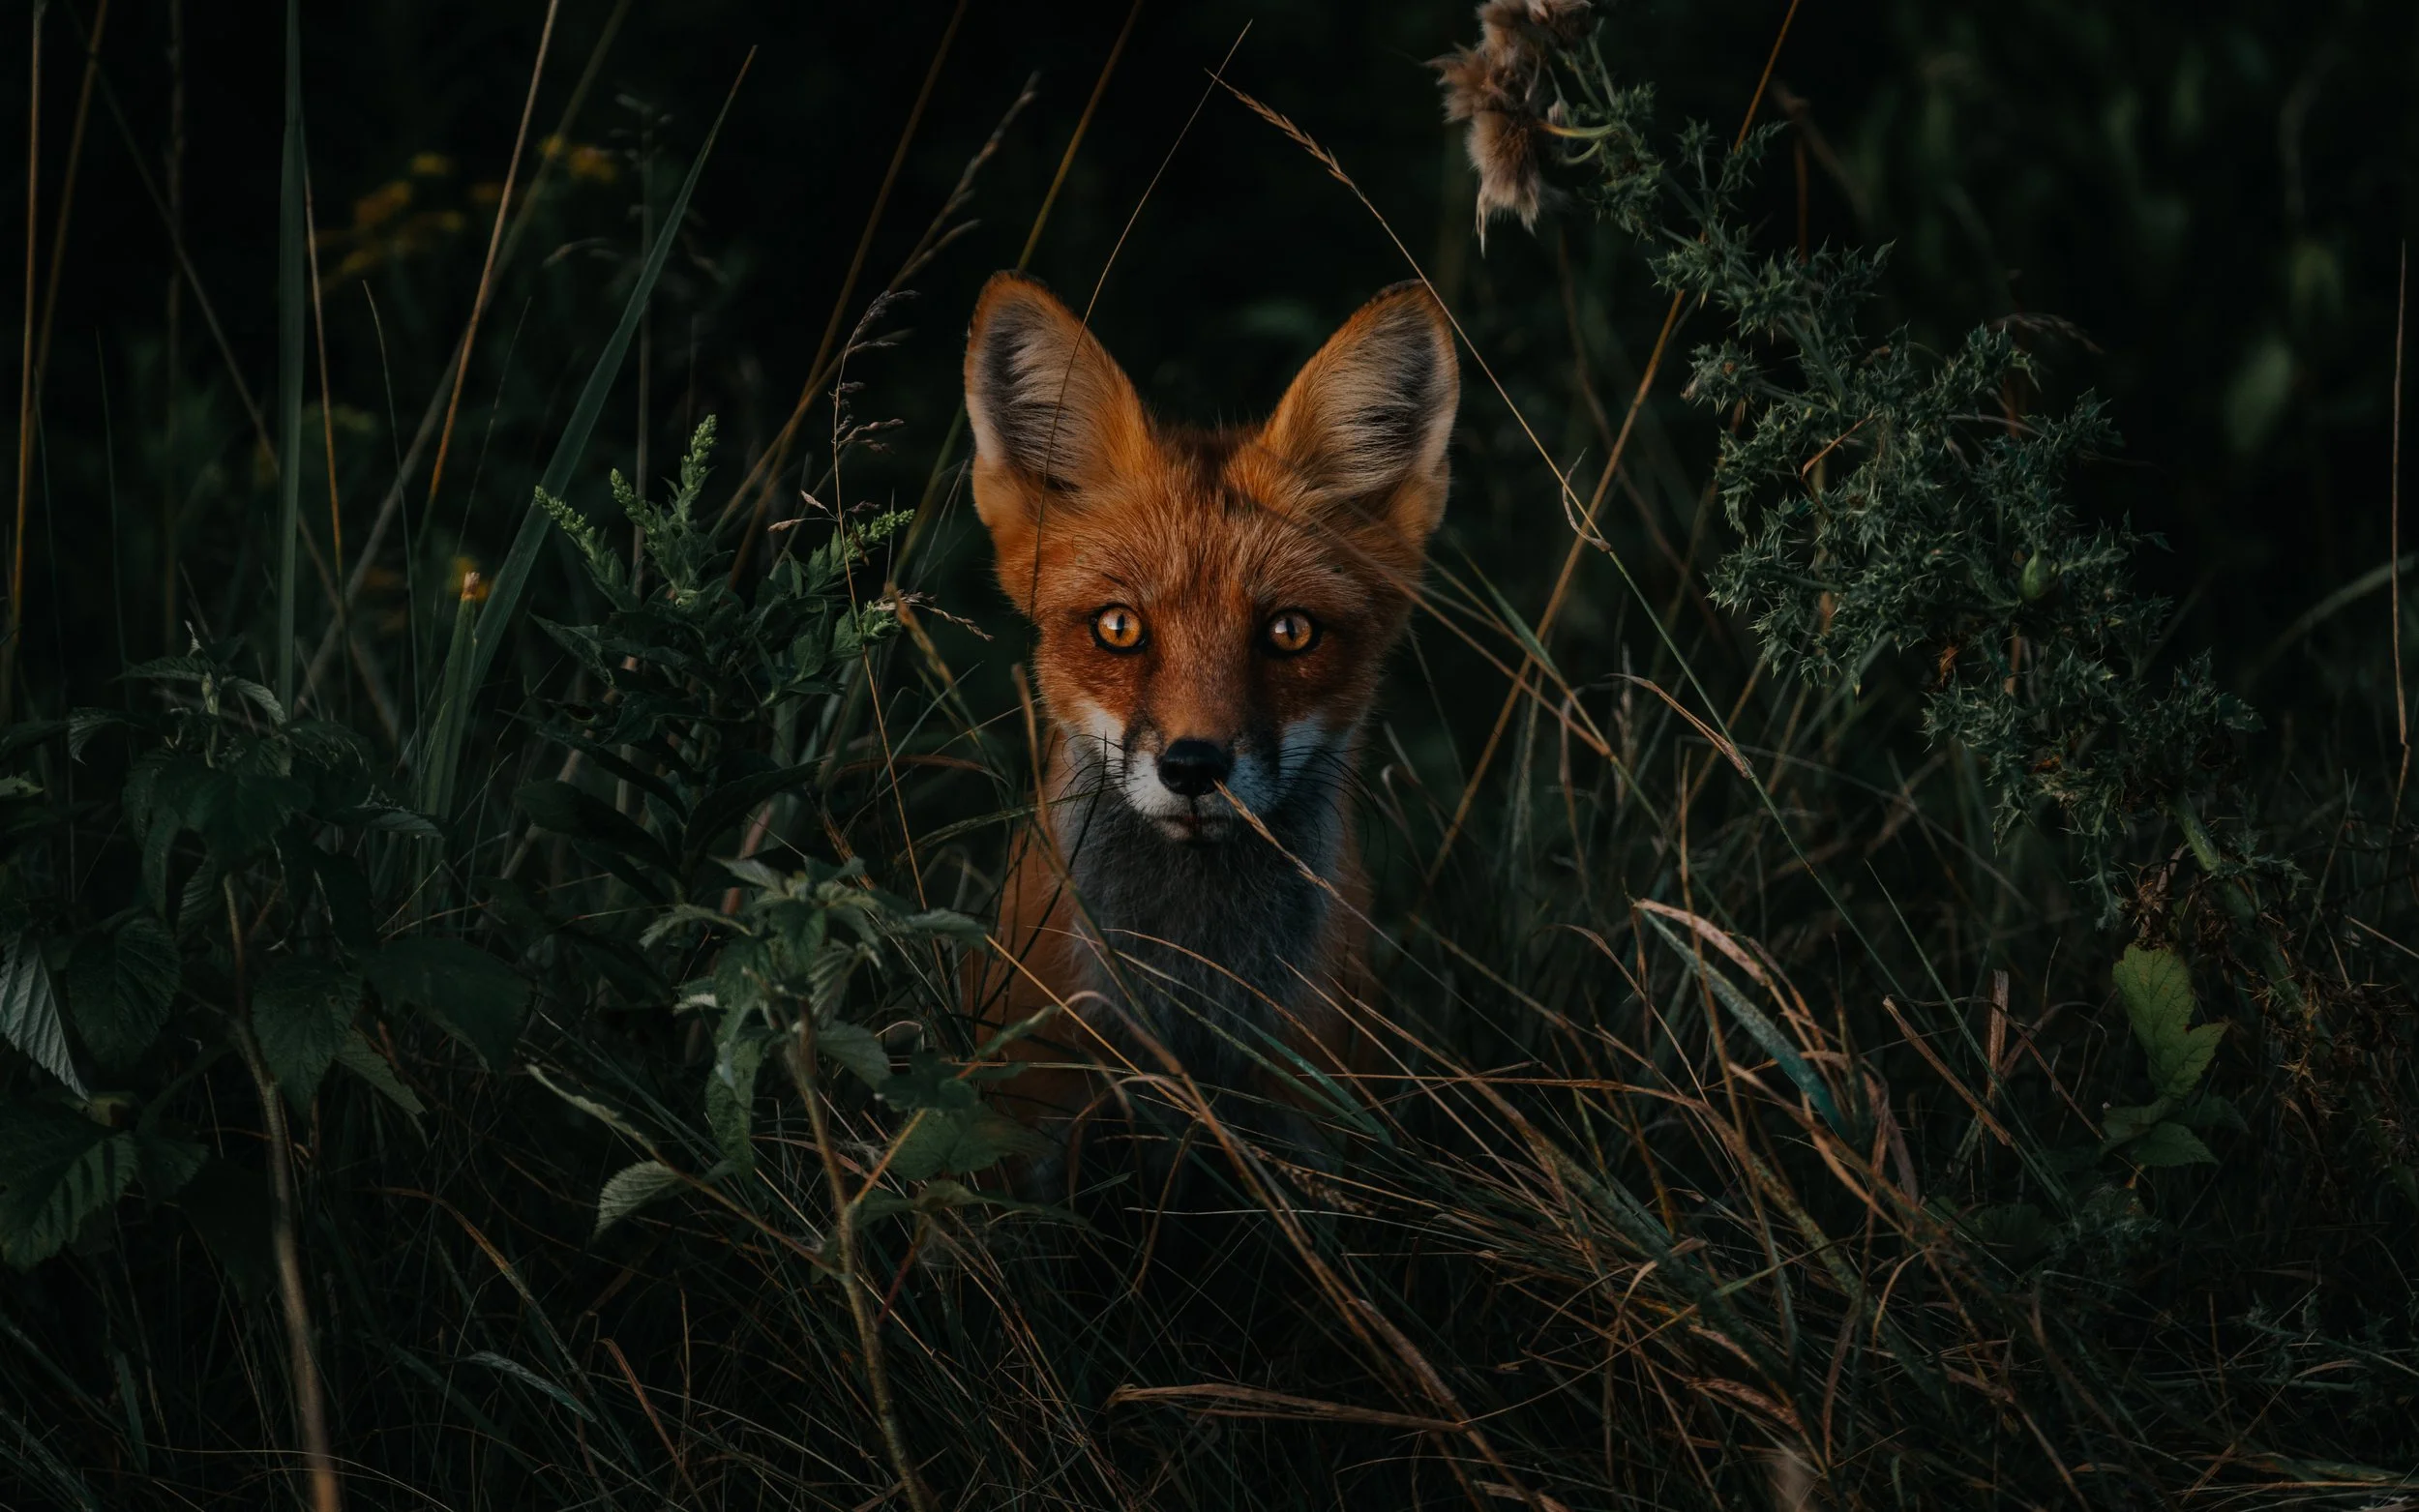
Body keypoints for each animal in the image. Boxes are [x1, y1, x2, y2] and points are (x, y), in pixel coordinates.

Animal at [961, 270, 1459, 1177]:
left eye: (1289, 631)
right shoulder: (1029, 1115)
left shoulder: (1314, 1129)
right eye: (1119, 627)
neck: (1190, 1004)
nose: (1193, 767)